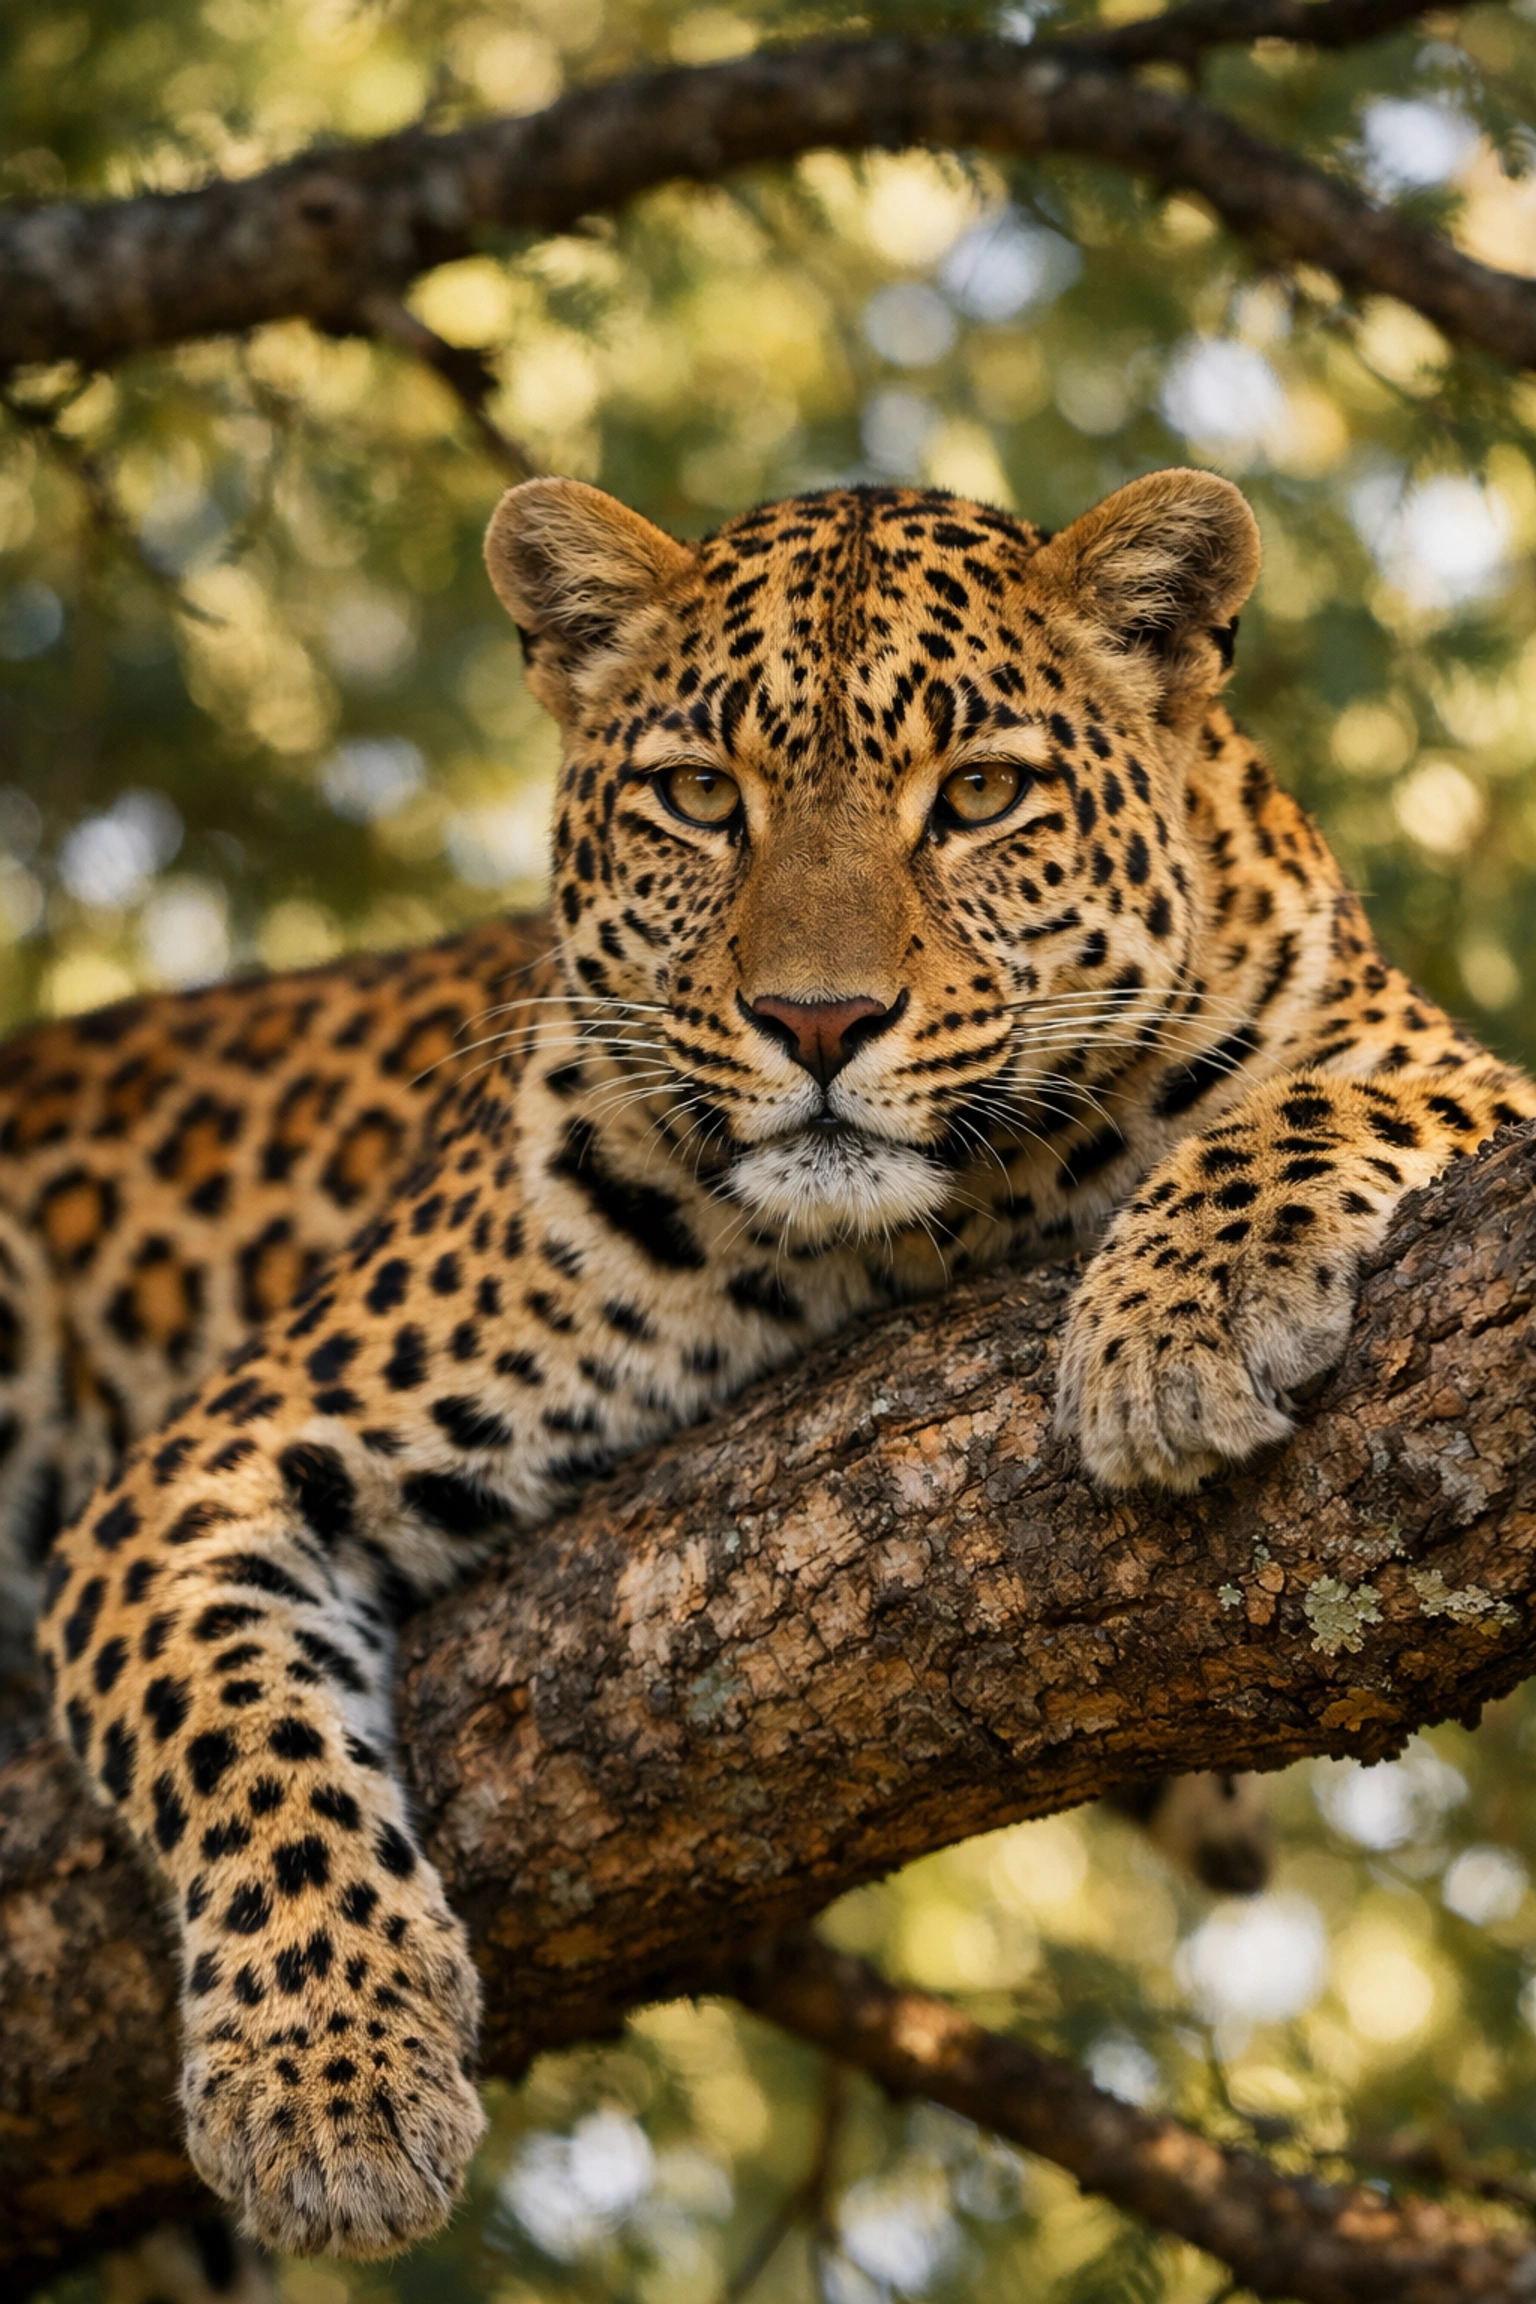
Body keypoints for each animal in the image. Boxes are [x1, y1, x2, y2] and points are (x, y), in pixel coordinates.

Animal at [20, 468, 1533, 2262]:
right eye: (697, 796)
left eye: (980, 793)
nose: (818, 1021)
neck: (935, 1222)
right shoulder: (201, 1475)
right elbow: (248, 1753)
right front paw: (331, 2089)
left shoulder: (1442, 1063)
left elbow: (1304, 1104)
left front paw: (1174, 1324)